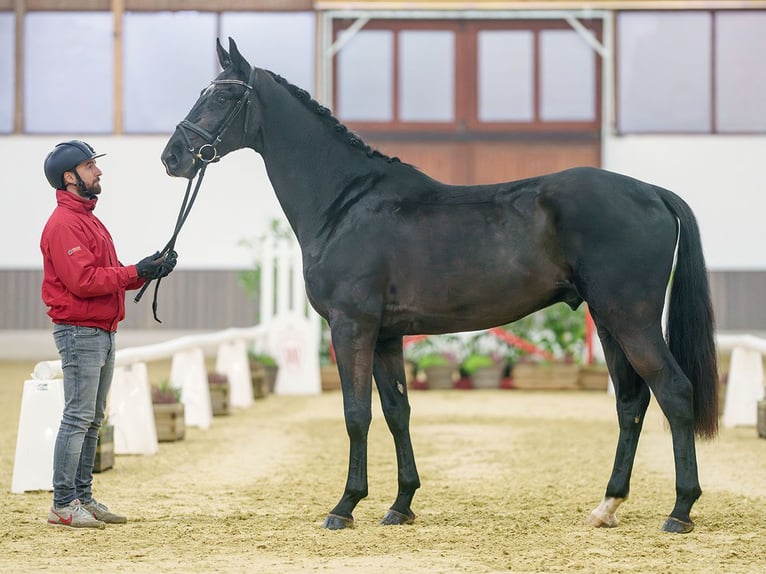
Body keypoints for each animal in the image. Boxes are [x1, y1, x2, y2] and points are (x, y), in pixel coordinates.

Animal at [160, 39, 720, 536]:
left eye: (221, 97)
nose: (172, 157)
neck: (345, 202)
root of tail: (651, 192)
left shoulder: (351, 326)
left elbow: (356, 414)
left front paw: (345, 506)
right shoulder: (386, 336)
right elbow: (397, 412)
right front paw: (401, 504)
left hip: (632, 319)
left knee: (674, 392)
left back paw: (681, 510)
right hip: (607, 320)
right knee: (631, 402)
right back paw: (607, 506)